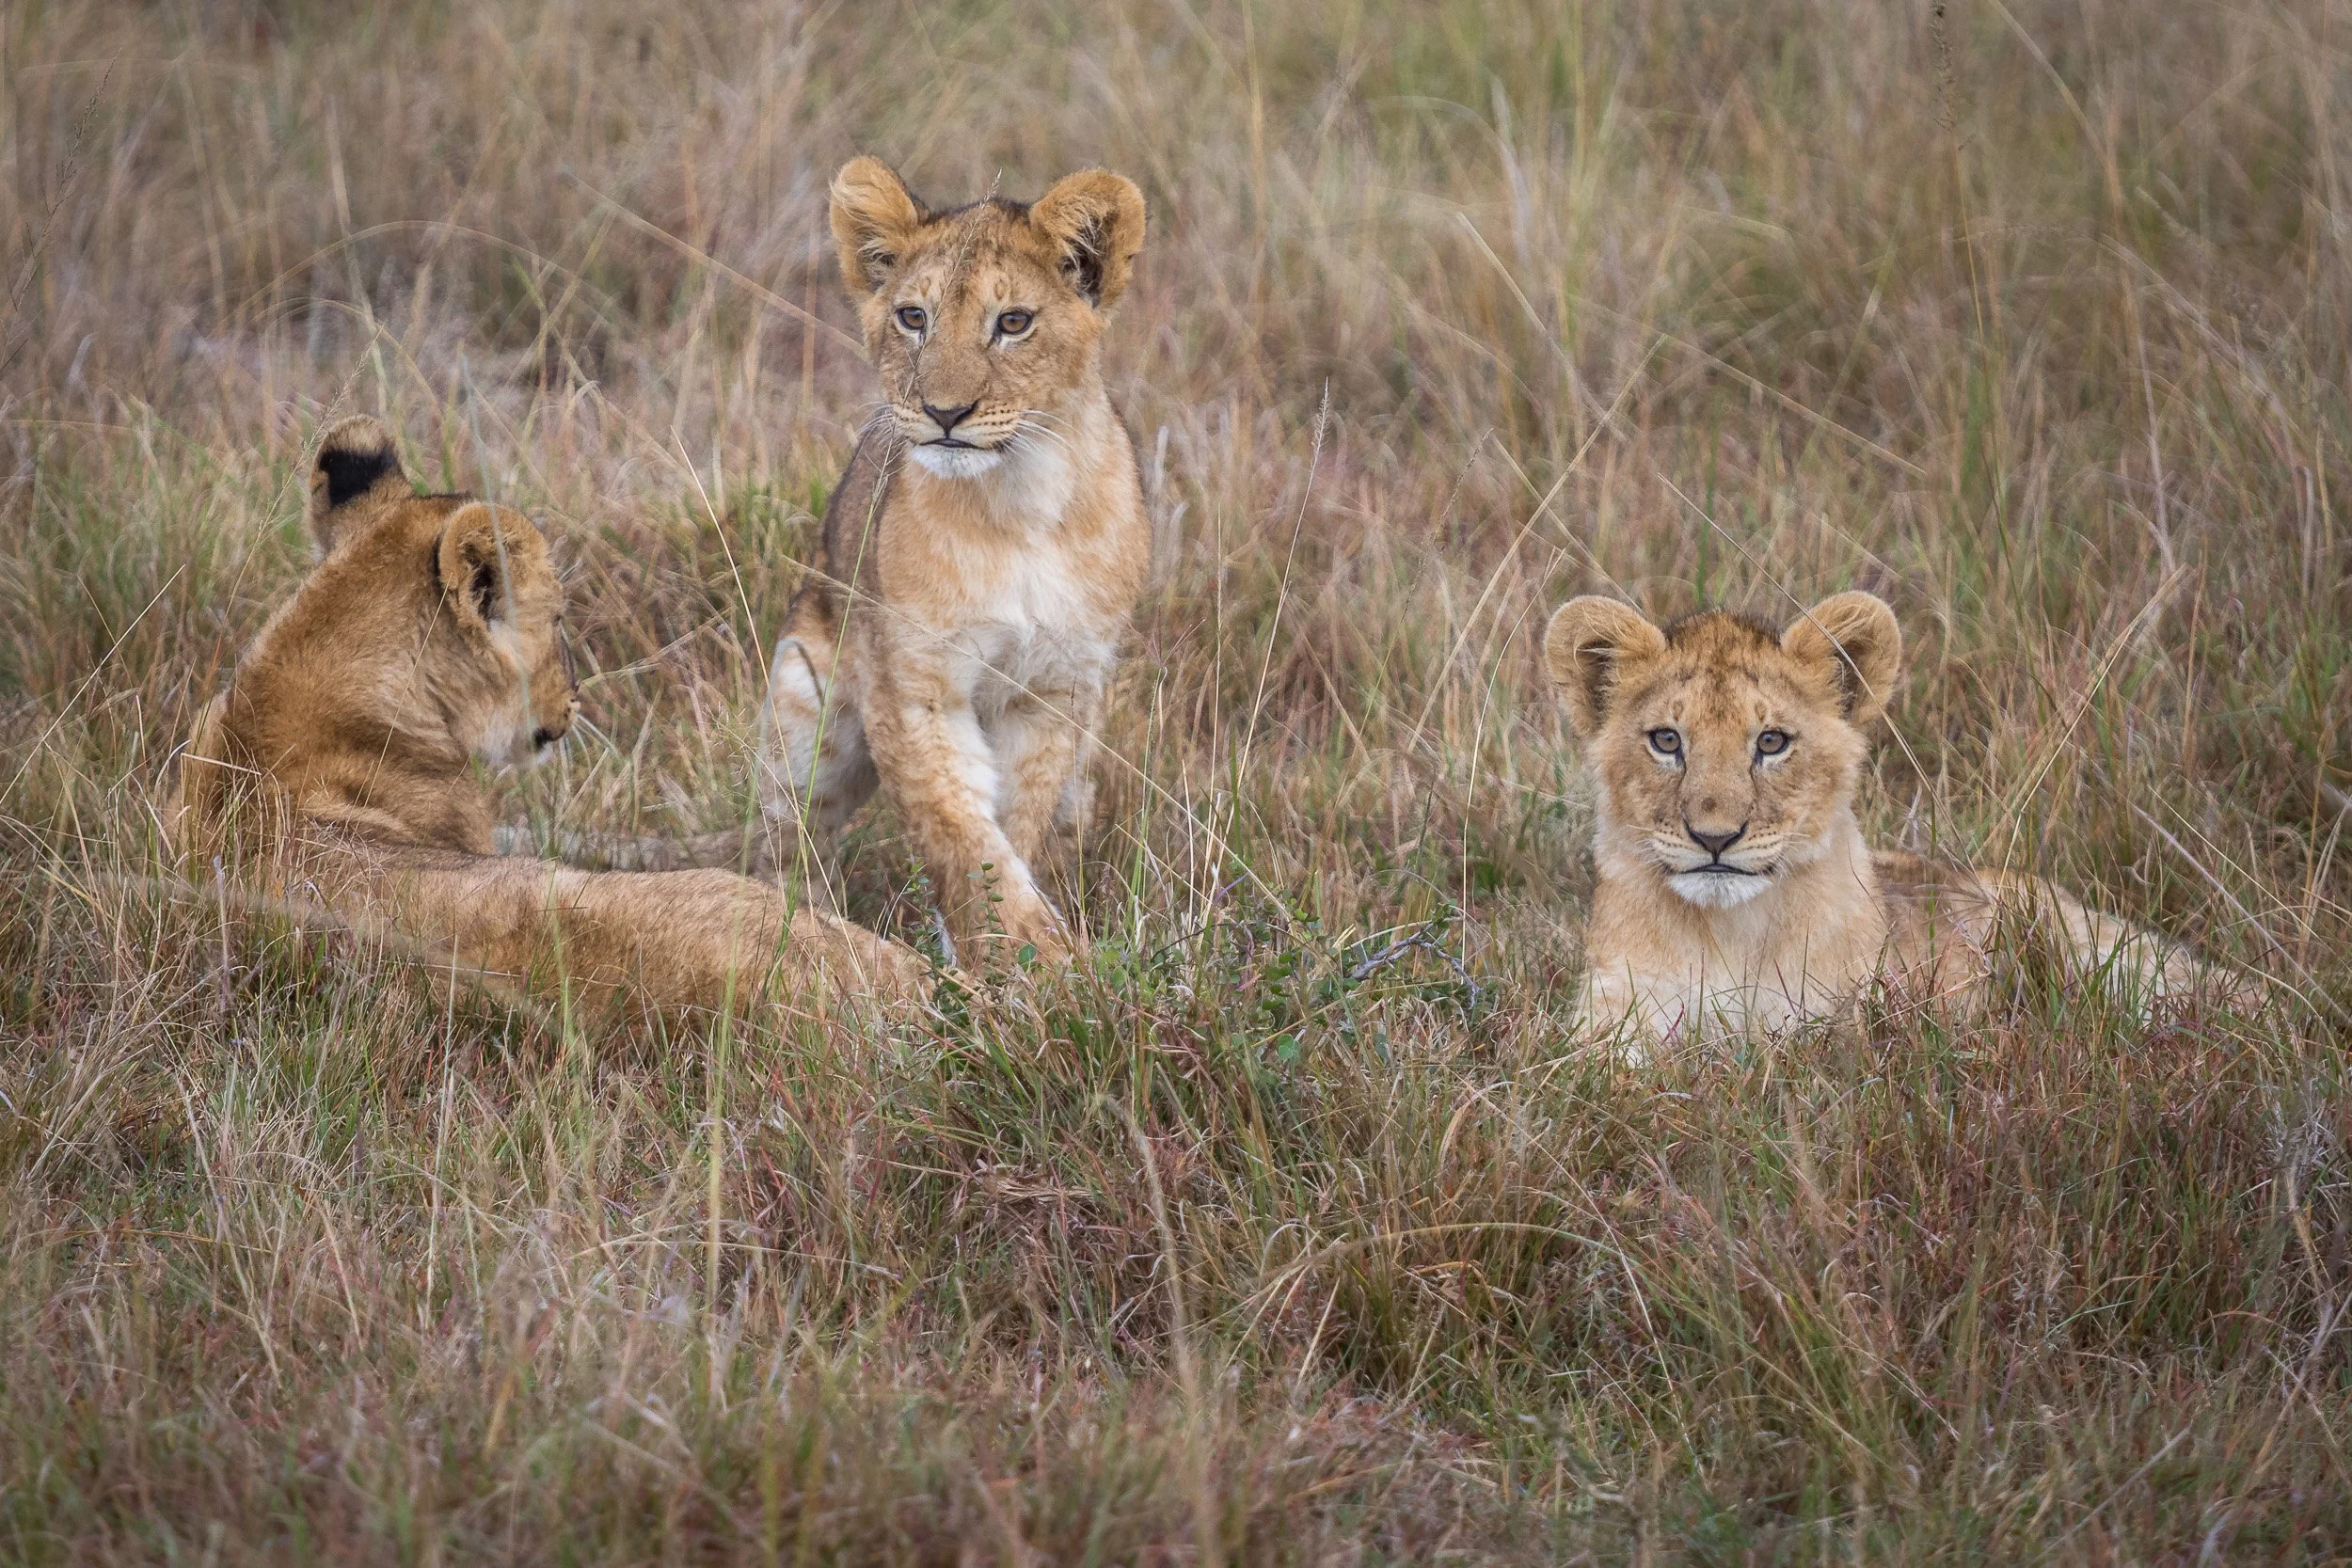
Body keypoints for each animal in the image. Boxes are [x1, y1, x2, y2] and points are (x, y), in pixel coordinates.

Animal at [754, 157, 1152, 968]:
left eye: (1013, 323)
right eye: (914, 318)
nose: (944, 413)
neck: (1020, 502)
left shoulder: (1055, 689)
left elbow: (1016, 825)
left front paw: (1028, 960)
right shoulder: (914, 686)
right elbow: (959, 833)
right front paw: (1019, 958)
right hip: (806, 719)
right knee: (794, 845)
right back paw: (802, 927)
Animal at [1542, 590, 2239, 1055]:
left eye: (1771, 741)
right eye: (1667, 740)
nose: (1715, 839)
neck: (1729, 934)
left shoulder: (1839, 1025)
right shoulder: (1610, 1019)